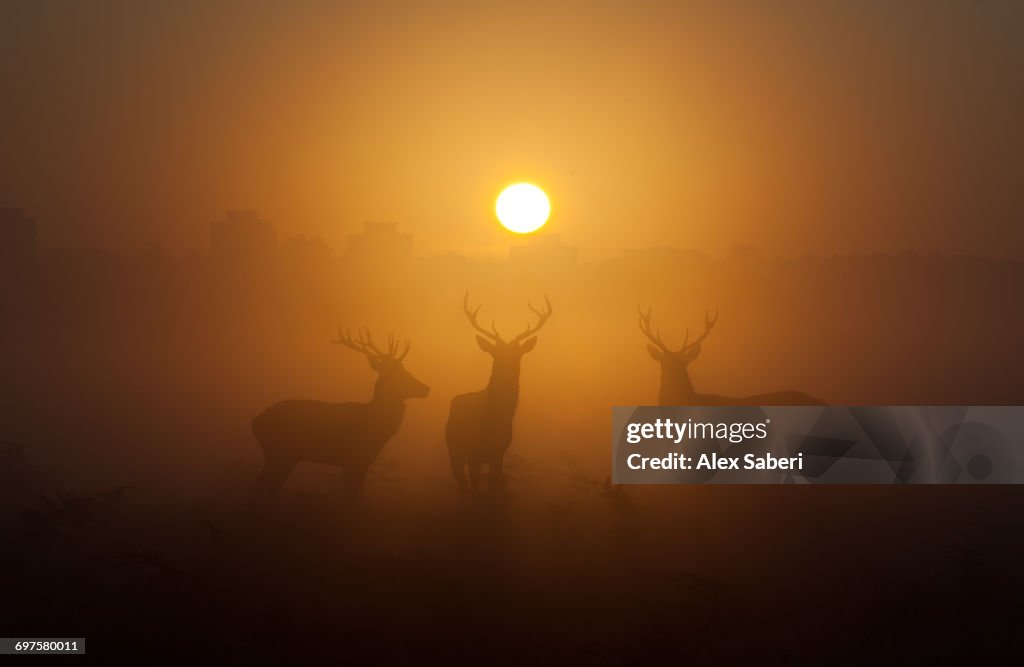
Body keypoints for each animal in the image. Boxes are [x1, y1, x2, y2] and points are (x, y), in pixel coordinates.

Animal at [256, 327, 432, 506]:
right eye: (398, 372)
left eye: (404, 368)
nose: (425, 388)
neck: (374, 426)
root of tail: (255, 422)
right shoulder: (353, 459)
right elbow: (353, 498)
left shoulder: (361, 462)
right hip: (280, 451)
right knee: (264, 483)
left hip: (284, 455)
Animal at [442, 293, 548, 499]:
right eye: (495, 353)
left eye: (517, 354)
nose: (507, 374)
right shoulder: (473, 451)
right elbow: (475, 485)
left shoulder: (499, 452)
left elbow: (492, 485)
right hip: (453, 446)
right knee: (462, 482)